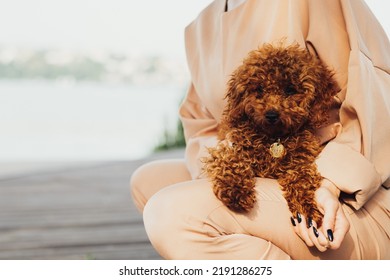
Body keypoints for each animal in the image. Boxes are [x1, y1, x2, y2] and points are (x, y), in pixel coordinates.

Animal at [204, 43, 338, 225]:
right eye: (259, 89)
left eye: (290, 90)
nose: (271, 115)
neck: (274, 138)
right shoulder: (230, 147)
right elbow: (228, 160)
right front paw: (236, 189)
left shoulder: (300, 162)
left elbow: (302, 178)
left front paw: (307, 207)